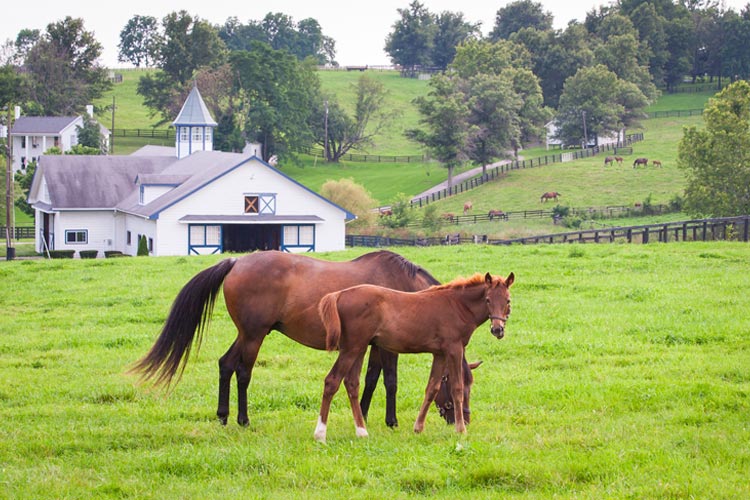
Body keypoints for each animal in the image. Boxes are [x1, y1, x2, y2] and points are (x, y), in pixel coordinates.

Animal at [130, 250, 472, 430]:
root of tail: (236, 262)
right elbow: (390, 381)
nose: (463, 418)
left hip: (246, 334)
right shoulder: (389, 347)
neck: (403, 288)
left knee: (225, 365)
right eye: (462, 386)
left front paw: (361, 413)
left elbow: (371, 379)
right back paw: (243, 418)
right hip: (254, 336)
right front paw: (391, 421)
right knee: (242, 372)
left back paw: (224, 415)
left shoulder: (373, 345)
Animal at [314, 272, 516, 444]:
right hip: (351, 348)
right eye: (488, 300)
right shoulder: (454, 349)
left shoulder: (439, 354)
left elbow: (432, 388)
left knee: (352, 384)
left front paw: (418, 428)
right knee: (332, 381)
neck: (457, 305)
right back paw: (320, 434)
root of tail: (339, 294)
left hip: (359, 348)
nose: (497, 330)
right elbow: (456, 388)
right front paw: (460, 430)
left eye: (508, 300)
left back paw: (362, 432)